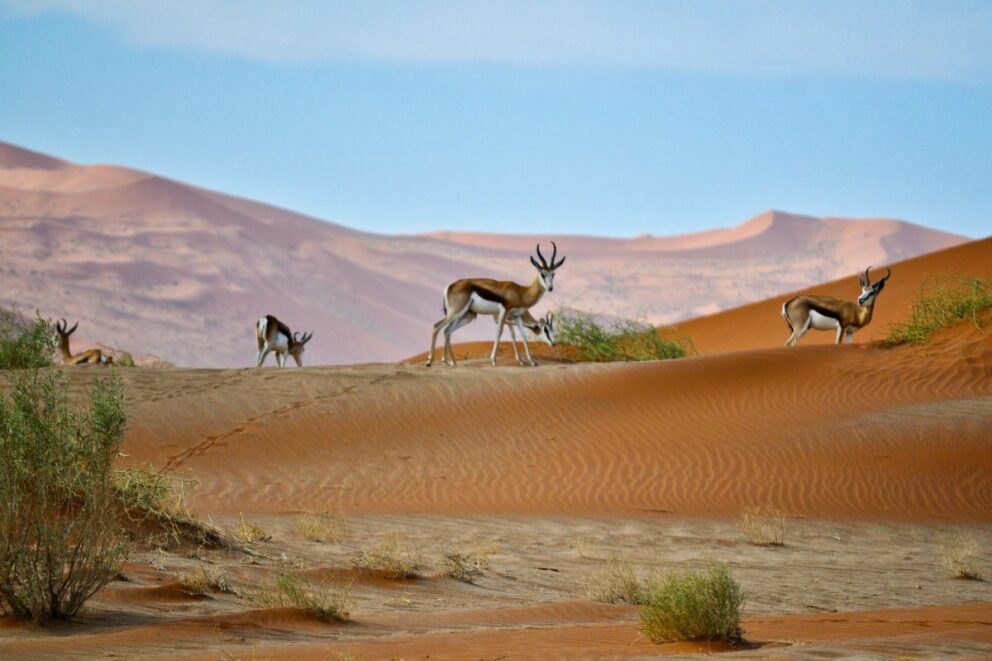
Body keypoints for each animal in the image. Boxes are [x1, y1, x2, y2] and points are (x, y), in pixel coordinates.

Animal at [427, 242, 566, 367]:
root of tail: (450, 286)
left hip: (466, 315)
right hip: (456, 312)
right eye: (542, 274)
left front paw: (531, 362)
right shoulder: (504, 312)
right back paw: (430, 361)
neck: (520, 292)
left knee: (447, 331)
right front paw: (493, 360)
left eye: (553, 274)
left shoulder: (516, 316)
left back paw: (451, 363)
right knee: (437, 326)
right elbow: (499, 332)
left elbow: (522, 335)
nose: (550, 288)